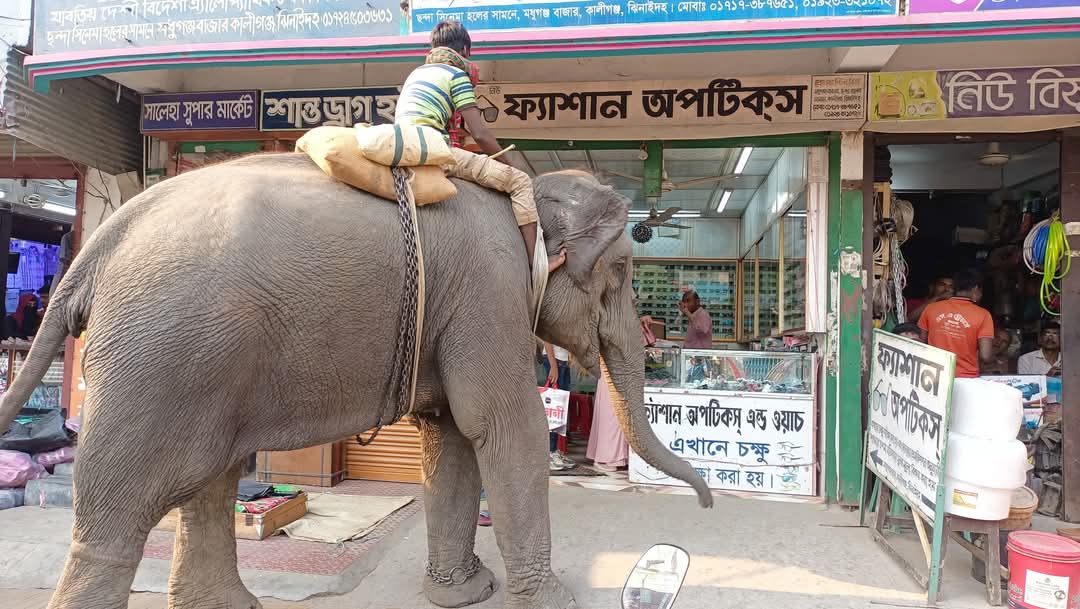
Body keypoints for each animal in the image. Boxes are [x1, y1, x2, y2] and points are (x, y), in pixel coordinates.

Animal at [0, 153, 712, 609]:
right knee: (120, 514)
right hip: (161, 359)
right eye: (619, 275)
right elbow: (503, 426)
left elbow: (451, 438)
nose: (705, 507)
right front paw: (553, 600)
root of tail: (99, 246)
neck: (529, 195)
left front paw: (463, 592)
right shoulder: (488, 292)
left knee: (209, 482)